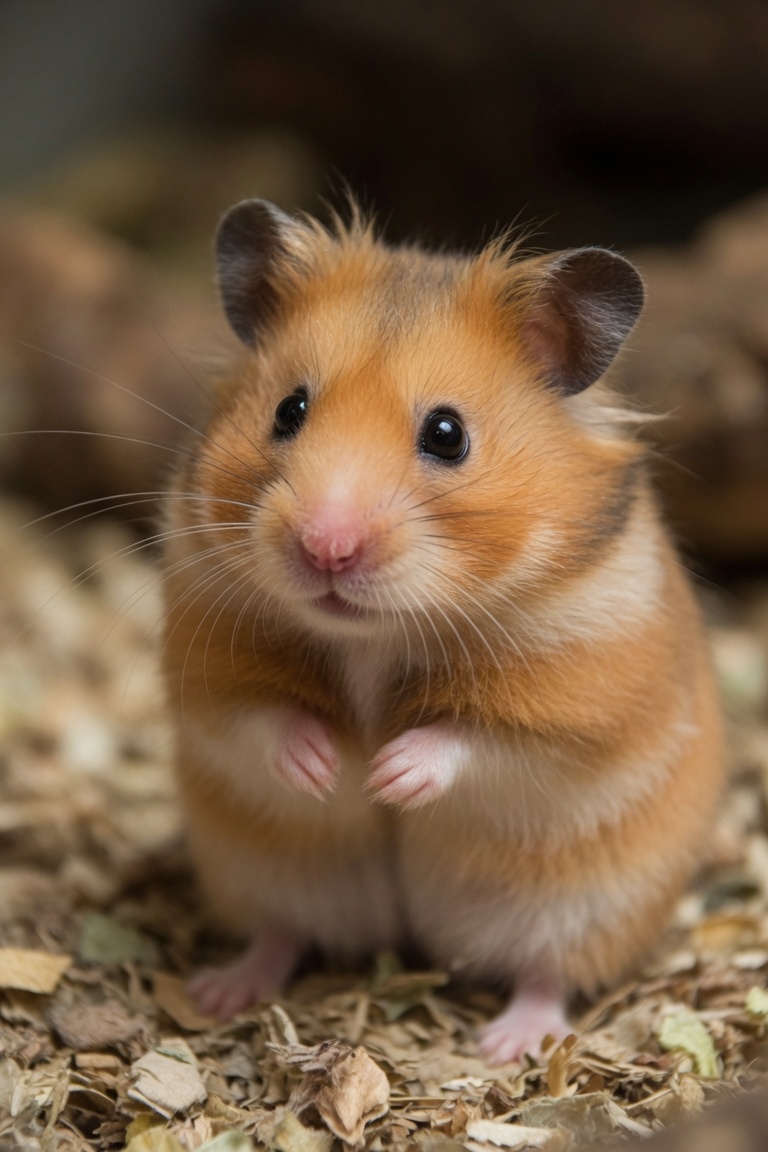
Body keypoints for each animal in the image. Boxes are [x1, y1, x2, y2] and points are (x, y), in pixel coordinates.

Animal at [161, 199, 724, 1063]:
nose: (326, 548)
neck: (374, 636)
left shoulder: (579, 701)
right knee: (281, 935)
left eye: (448, 433)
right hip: (262, 871)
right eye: (289, 410)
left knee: (549, 973)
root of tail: (415, 936)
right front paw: (328, 769)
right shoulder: (205, 662)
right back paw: (223, 991)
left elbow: (473, 741)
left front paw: (385, 775)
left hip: (584, 902)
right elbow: (262, 718)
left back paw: (507, 1044)